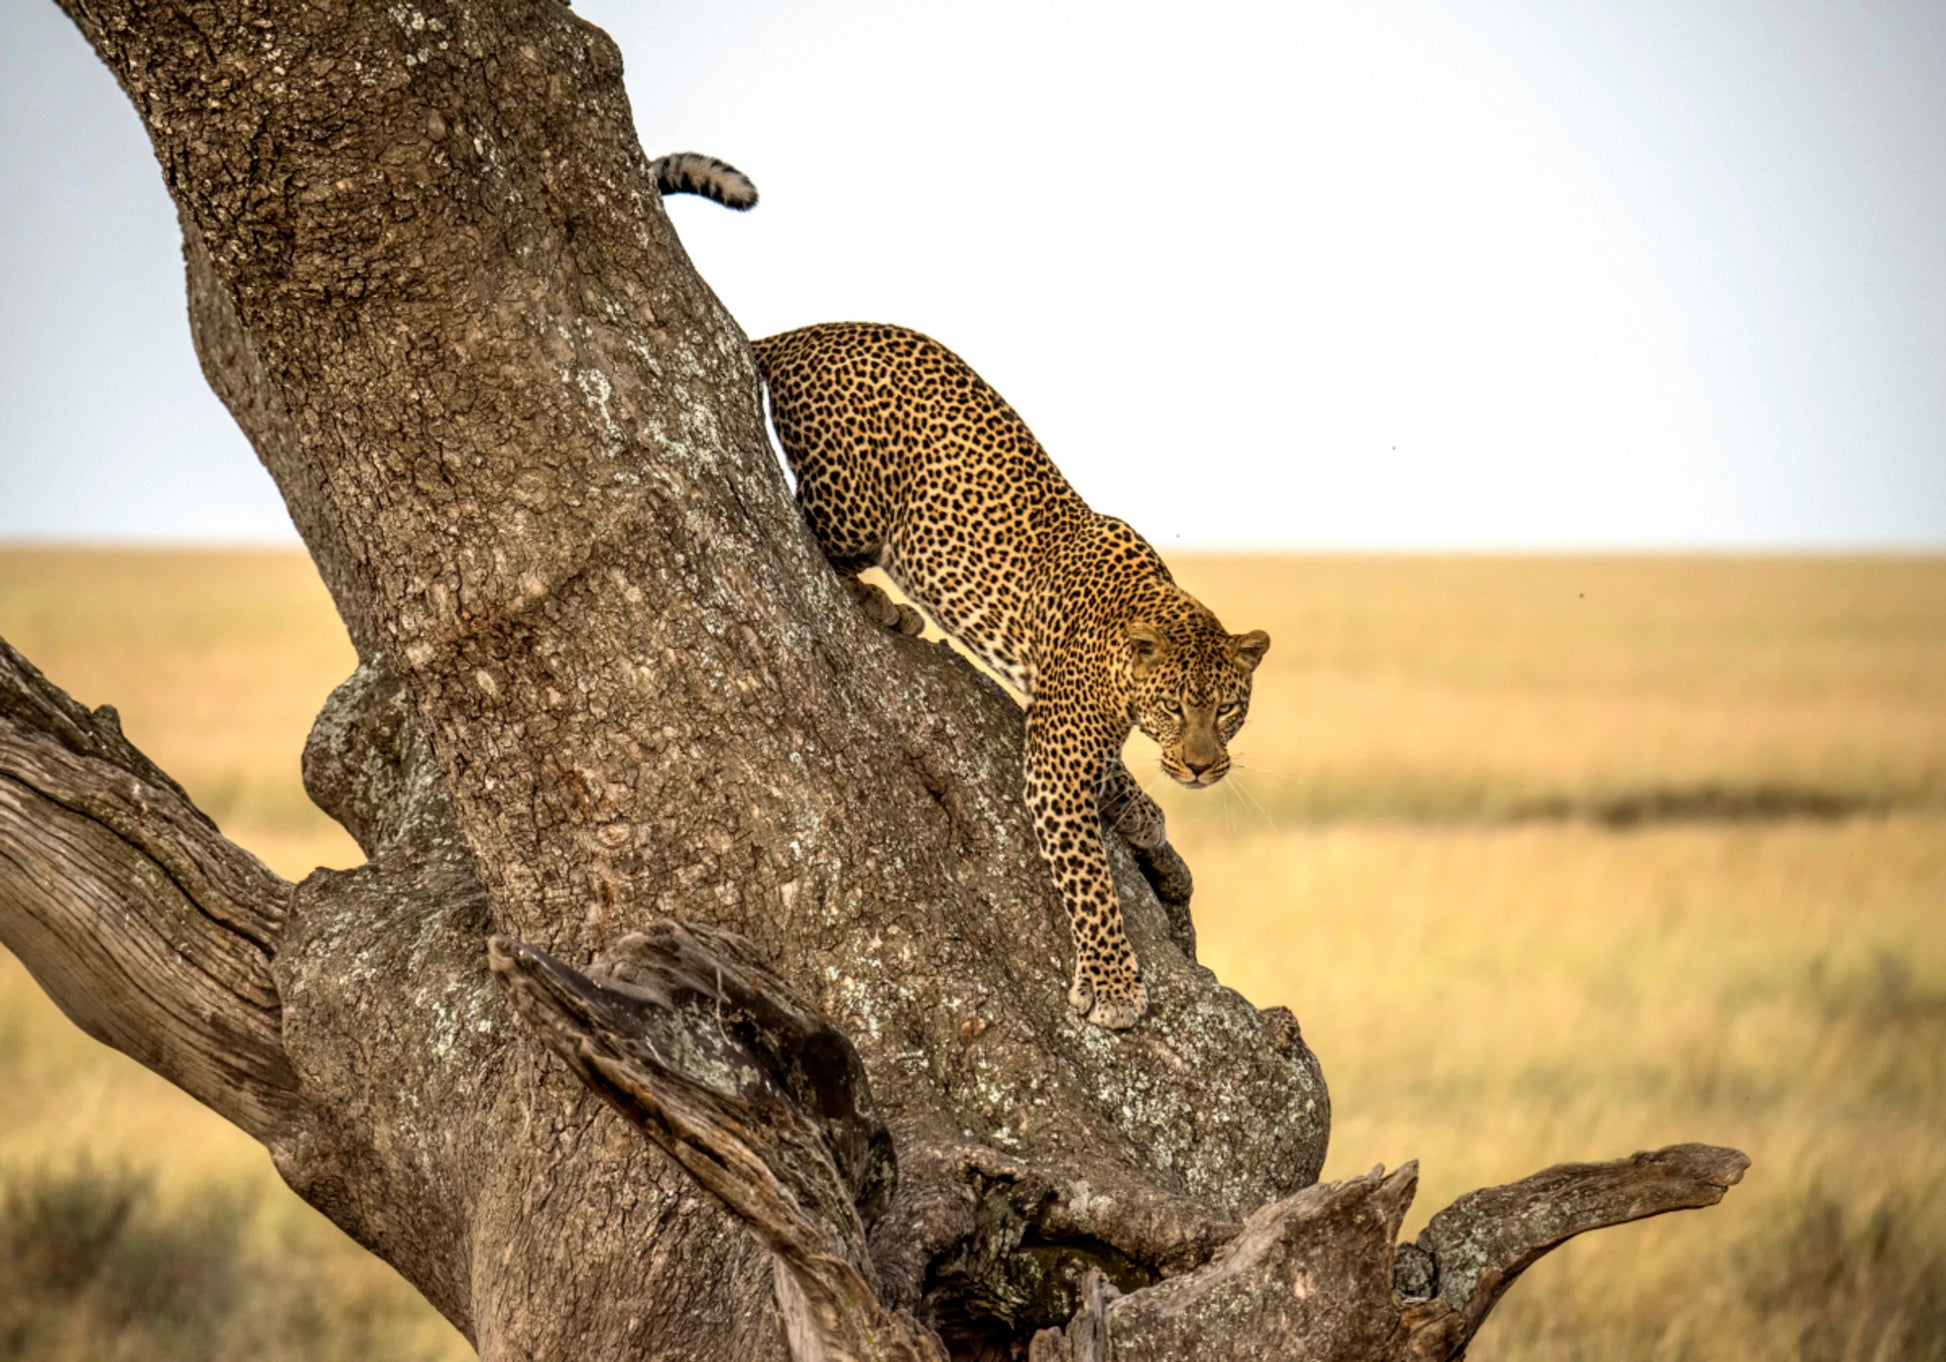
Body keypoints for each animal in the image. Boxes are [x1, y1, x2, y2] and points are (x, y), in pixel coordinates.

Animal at [652, 155, 1269, 1030]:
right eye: (1178, 705)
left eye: (1229, 708)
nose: (1205, 768)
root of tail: (799, 334)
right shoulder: (1054, 757)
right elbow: (1089, 881)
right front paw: (1114, 986)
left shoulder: (1054, 718)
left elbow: (1113, 779)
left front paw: (1143, 815)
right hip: (855, 500)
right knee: (805, 527)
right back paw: (883, 605)